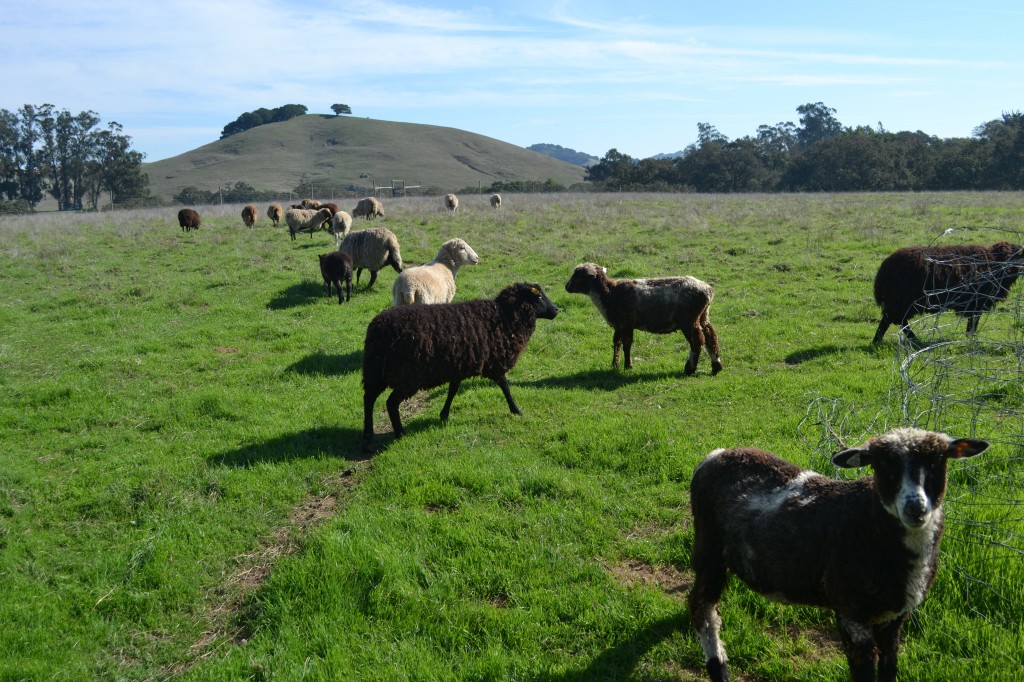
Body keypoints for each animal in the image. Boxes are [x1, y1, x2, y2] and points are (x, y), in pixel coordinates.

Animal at [362, 280, 561, 446]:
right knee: (391, 403)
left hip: (375, 371)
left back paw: (368, 434)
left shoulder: (459, 365)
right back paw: (400, 433)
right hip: (407, 376)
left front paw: (444, 414)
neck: (505, 317)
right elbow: (505, 386)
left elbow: (453, 389)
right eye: (540, 297)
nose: (557, 310)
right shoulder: (494, 362)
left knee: (369, 399)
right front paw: (516, 410)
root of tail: (378, 328)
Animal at [565, 262, 724, 374]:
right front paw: (614, 364)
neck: (609, 293)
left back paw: (690, 369)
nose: (566, 287)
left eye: (578, 275)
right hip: (703, 315)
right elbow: (617, 343)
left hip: (689, 320)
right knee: (711, 337)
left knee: (698, 341)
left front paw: (628, 366)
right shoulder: (619, 325)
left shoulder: (626, 324)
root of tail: (708, 290)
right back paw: (716, 366)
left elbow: (627, 344)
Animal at [692, 428, 987, 679]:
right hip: (708, 545)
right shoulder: (850, 613)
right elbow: (864, 673)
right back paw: (718, 667)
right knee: (703, 610)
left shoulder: (895, 617)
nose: (915, 508)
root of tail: (716, 455)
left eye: (938, 460)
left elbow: (889, 668)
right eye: (881, 464)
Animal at [872, 241, 1024, 342]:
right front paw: (971, 339)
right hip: (902, 300)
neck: (995, 263)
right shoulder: (977, 302)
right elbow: (973, 322)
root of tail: (885, 268)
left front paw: (969, 338)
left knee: (893, 320)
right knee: (896, 320)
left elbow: (972, 322)